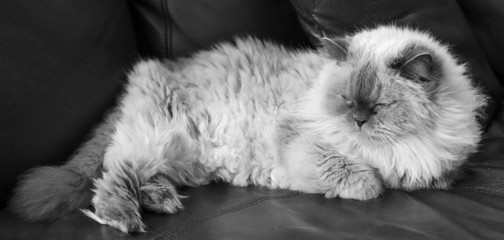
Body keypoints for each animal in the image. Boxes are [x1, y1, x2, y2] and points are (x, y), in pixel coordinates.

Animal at [9, 25, 486, 232]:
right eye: (348, 101)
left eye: (381, 105)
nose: (359, 120)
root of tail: (158, 65)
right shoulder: (304, 144)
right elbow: (363, 181)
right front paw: (373, 181)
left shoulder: (439, 162)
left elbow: (436, 178)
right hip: (160, 136)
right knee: (112, 176)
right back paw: (126, 218)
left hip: (183, 157)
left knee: (136, 174)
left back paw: (162, 200)